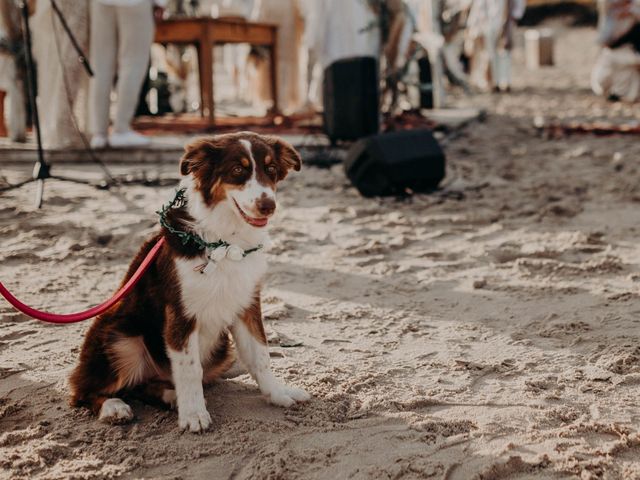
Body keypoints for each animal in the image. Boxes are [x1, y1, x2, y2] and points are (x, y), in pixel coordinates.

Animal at [70, 131, 310, 432]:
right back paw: (114, 407)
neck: (225, 241)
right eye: (237, 170)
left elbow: (260, 355)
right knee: (83, 391)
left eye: (272, 170)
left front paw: (278, 394)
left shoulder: (247, 304)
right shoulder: (181, 313)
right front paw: (194, 413)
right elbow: (189, 369)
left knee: (143, 386)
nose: (268, 206)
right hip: (121, 336)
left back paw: (169, 396)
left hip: (222, 353)